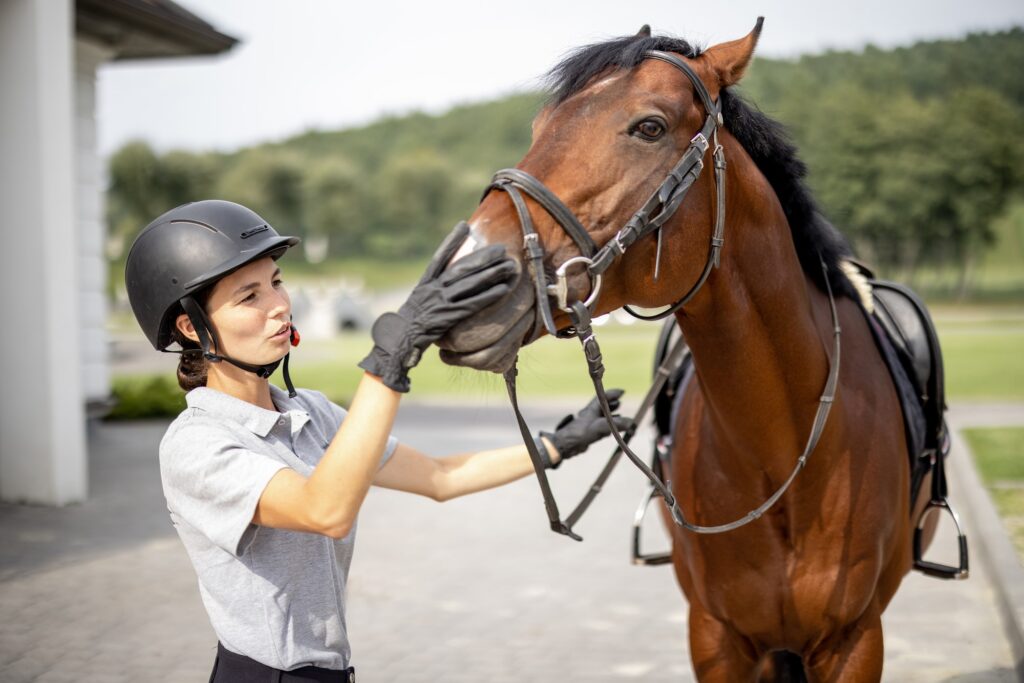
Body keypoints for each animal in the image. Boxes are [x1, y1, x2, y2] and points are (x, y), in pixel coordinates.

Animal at [440, 18, 937, 679]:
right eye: (539, 128)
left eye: (650, 127)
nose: (465, 276)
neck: (784, 456)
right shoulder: (715, 635)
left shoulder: (854, 640)